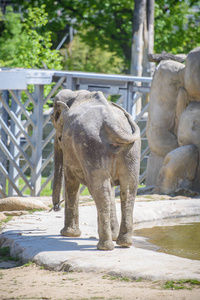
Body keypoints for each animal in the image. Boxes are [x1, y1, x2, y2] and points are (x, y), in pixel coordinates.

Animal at [50, 89, 141, 251]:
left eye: (53, 118)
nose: (56, 208)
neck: (77, 95)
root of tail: (112, 124)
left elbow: (71, 180)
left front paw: (68, 234)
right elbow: (112, 187)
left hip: (90, 145)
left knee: (99, 189)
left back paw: (104, 246)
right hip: (132, 149)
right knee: (129, 188)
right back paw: (123, 243)